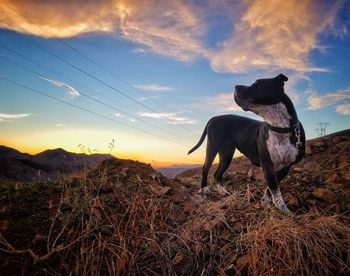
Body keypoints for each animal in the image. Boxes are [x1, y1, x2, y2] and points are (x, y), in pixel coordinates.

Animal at [187, 73, 304, 213]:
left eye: (256, 83)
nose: (236, 86)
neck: (279, 127)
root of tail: (214, 118)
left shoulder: (285, 167)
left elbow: (271, 188)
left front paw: (266, 203)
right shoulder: (267, 164)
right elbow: (274, 188)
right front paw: (284, 210)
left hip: (226, 155)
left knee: (217, 174)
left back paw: (223, 192)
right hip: (212, 147)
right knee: (205, 168)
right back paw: (204, 189)